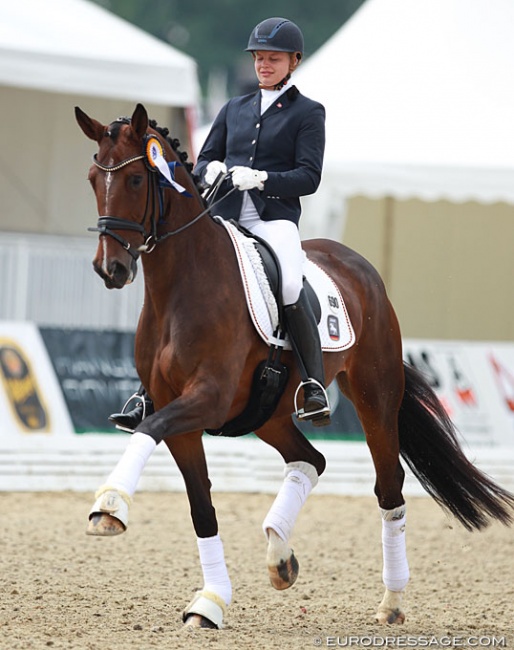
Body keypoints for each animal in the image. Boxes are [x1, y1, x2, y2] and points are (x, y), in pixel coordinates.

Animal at [75, 103, 514, 629]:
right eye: (93, 178)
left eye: (138, 178)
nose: (110, 269)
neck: (181, 288)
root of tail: (361, 267)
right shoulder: (179, 413)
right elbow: (200, 506)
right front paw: (210, 602)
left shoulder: (207, 398)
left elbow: (150, 431)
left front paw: (109, 506)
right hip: (269, 414)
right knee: (312, 459)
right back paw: (279, 556)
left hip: (375, 400)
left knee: (389, 488)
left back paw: (391, 601)